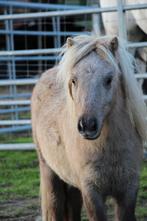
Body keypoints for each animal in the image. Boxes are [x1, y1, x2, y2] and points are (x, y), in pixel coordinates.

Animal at [31, 35, 147, 220]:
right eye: (73, 80)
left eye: (109, 79)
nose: (87, 125)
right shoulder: (91, 192)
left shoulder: (128, 190)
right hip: (49, 170)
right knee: (54, 205)